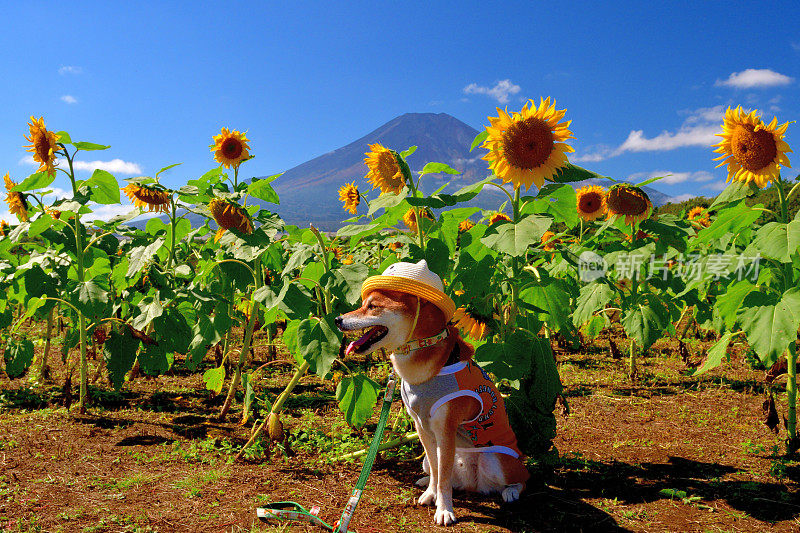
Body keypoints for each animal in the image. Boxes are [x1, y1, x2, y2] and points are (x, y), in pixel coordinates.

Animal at [334, 270, 528, 524]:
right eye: (362, 304)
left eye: (372, 306)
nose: (337, 319)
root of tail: (475, 483)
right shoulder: (421, 426)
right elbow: (438, 472)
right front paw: (431, 493)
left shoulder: (445, 429)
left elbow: (443, 476)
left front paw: (444, 510)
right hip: (433, 459)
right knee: (442, 473)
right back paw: (428, 482)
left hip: (495, 460)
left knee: (523, 479)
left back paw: (511, 491)